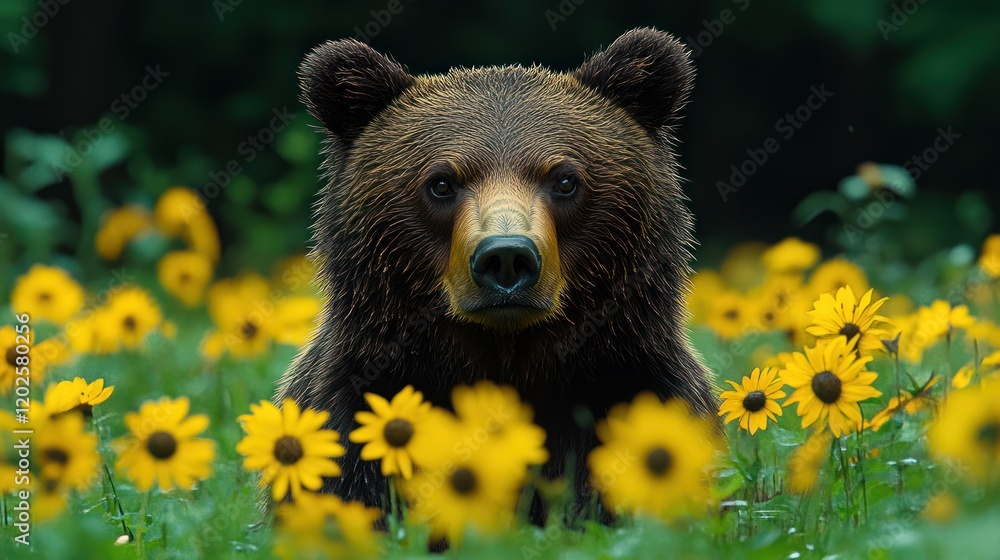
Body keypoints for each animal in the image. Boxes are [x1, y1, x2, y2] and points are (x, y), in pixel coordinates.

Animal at [276, 27, 718, 514]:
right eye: (441, 182)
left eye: (565, 179)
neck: (507, 362)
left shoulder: (635, 388)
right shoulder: (358, 402)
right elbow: (351, 486)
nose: (506, 257)